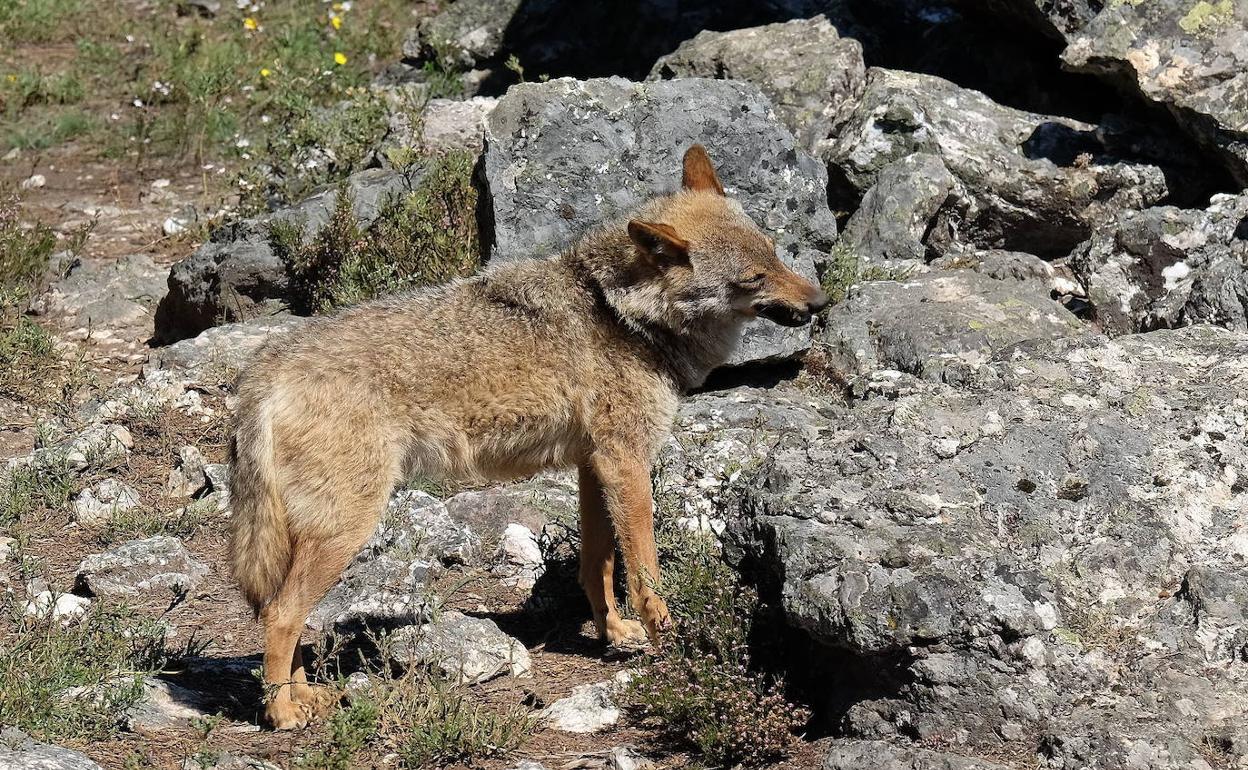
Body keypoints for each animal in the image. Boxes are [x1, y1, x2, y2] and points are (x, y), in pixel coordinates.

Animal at [230, 145, 828, 728]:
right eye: (752, 279)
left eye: (776, 255)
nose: (820, 303)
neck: (622, 314)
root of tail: (264, 369)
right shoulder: (627, 461)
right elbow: (645, 570)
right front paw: (670, 637)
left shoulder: (593, 465)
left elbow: (597, 565)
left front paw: (615, 633)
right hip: (345, 529)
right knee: (281, 615)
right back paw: (282, 713)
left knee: (281, 614)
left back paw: (305, 697)